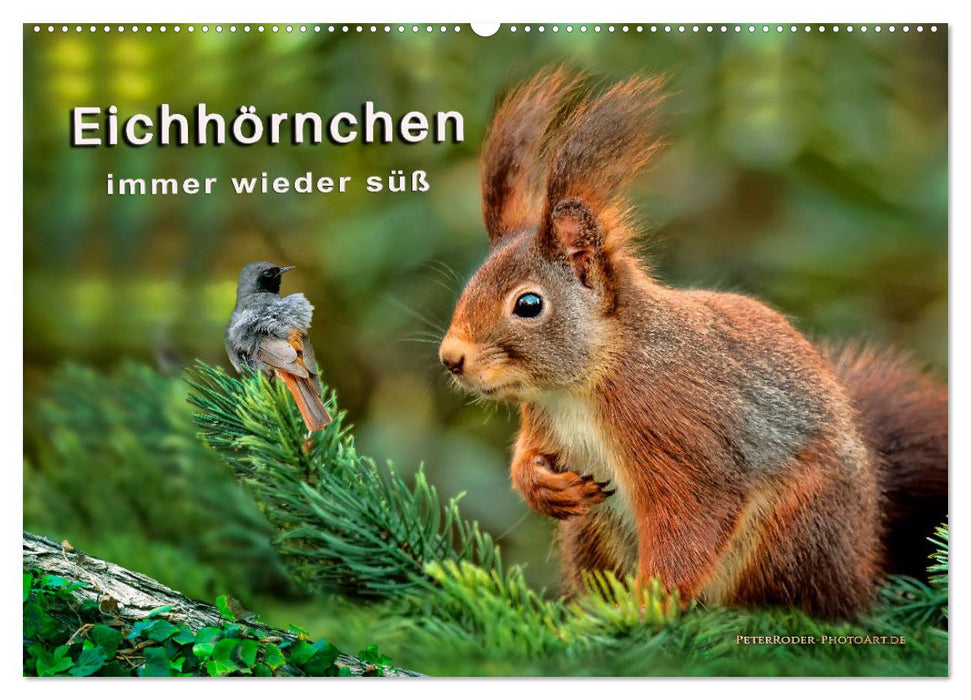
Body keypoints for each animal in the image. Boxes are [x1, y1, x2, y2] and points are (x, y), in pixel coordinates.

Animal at [438, 68, 947, 619]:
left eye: (528, 304)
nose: (451, 358)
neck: (582, 385)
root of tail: (861, 564)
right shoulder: (543, 418)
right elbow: (526, 458)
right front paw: (541, 485)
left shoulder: (675, 428)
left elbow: (691, 522)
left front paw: (643, 609)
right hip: (592, 532)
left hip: (793, 529)